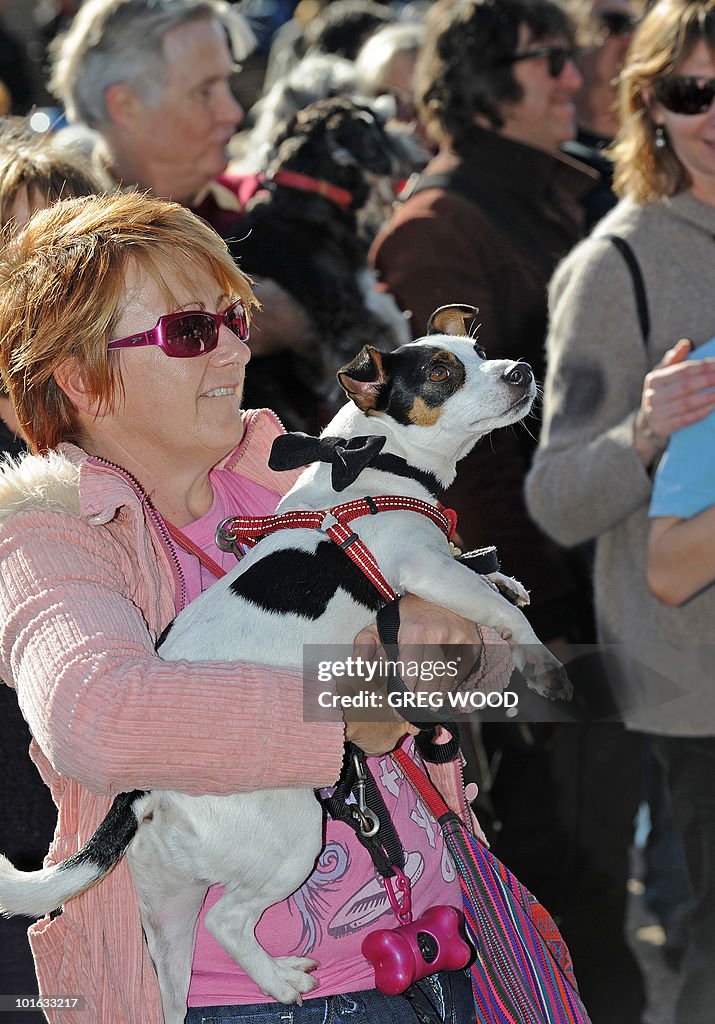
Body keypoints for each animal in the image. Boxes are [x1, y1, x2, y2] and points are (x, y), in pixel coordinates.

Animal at [0, 303, 569, 1024]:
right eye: (442, 372)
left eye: (479, 348)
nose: (521, 369)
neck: (380, 461)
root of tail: (144, 790)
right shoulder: (420, 568)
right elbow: (504, 616)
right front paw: (542, 661)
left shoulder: (439, 567)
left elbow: (490, 584)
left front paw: (505, 579)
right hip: (295, 835)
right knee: (230, 921)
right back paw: (280, 981)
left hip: (168, 911)